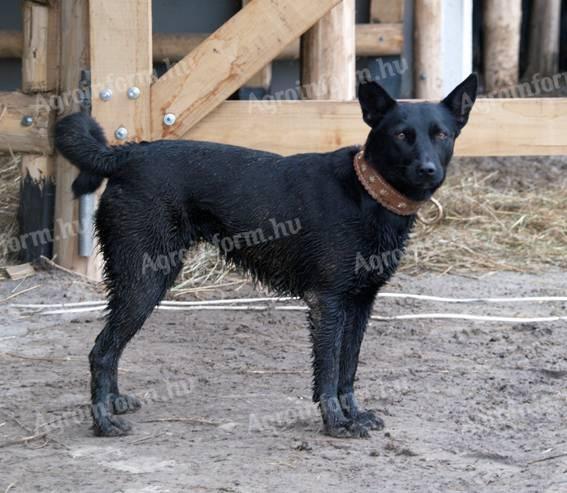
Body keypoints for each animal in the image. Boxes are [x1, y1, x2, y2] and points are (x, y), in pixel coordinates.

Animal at [55, 74, 478, 438]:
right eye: (402, 135)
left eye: (441, 134)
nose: (428, 169)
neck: (367, 192)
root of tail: (124, 156)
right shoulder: (328, 303)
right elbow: (328, 371)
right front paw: (335, 423)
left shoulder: (360, 304)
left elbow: (348, 369)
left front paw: (353, 413)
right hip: (145, 282)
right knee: (101, 351)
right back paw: (103, 422)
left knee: (109, 349)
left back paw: (113, 403)